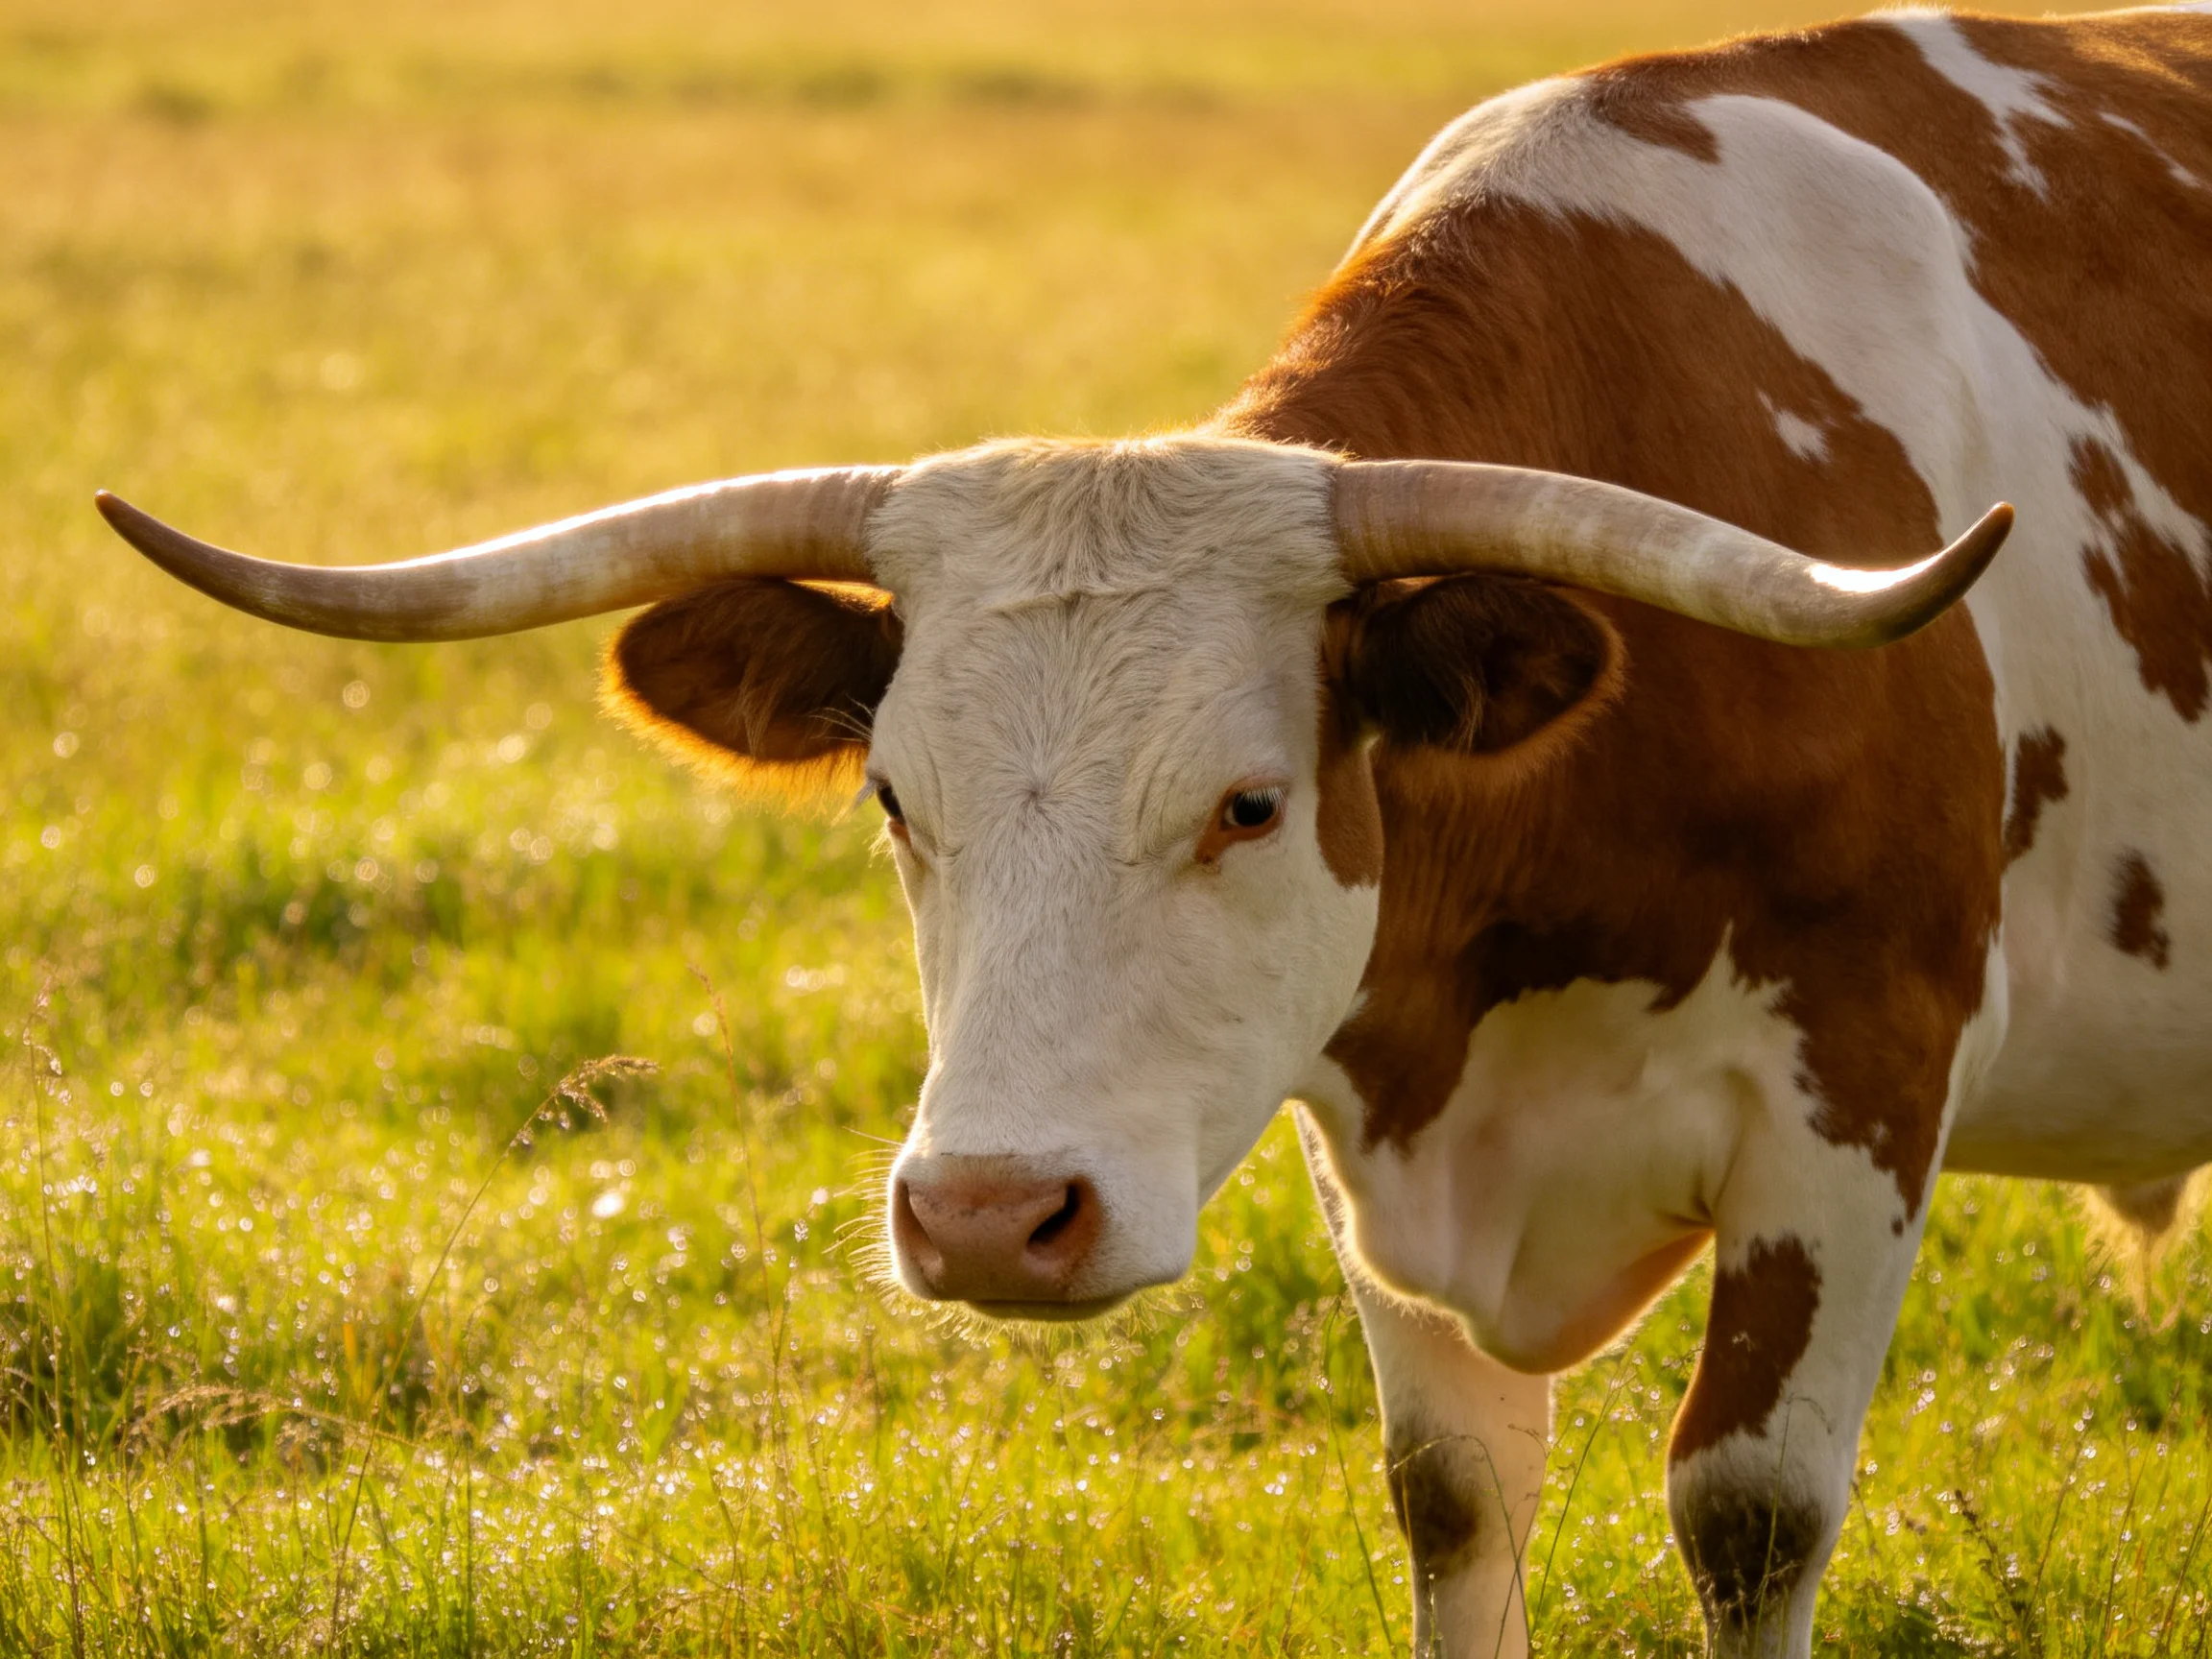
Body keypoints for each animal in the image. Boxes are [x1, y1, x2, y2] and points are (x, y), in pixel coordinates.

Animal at [97, 6, 2212, 1654]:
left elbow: (1748, 1504)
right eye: (893, 800)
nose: (983, 1215)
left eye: (1249, 802)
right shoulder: (1369, 1125)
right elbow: (1453, 1493)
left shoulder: (1858, 1081)